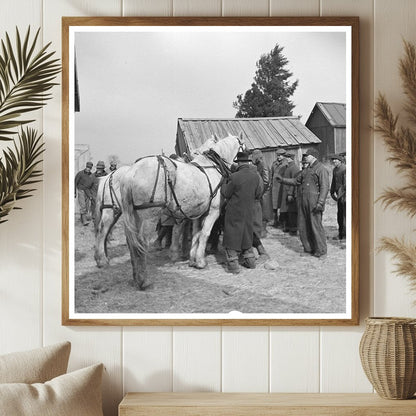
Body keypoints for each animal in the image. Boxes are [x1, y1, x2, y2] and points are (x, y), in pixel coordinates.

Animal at [92, 135, 219, 268]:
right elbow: (181, 230)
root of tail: (109, 176)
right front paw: (179, 253)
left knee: (104, 231)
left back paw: (102, 257)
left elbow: (181, 230)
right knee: (104, 230)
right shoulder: (185, 212)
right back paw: (103, 260)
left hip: (114, 210)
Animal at [120, 133, 244, 290]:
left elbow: (196, 234)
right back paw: (144, 281)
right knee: (141, 243)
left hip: (133, 216)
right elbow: (205, 234)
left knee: (131, 243)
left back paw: (136, 277)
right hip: (148, 217)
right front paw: (200, 262)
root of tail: (131, 173)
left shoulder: (198, 213)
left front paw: (193, 259)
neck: (213, 167)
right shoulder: (212, 212)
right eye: (243, 146)